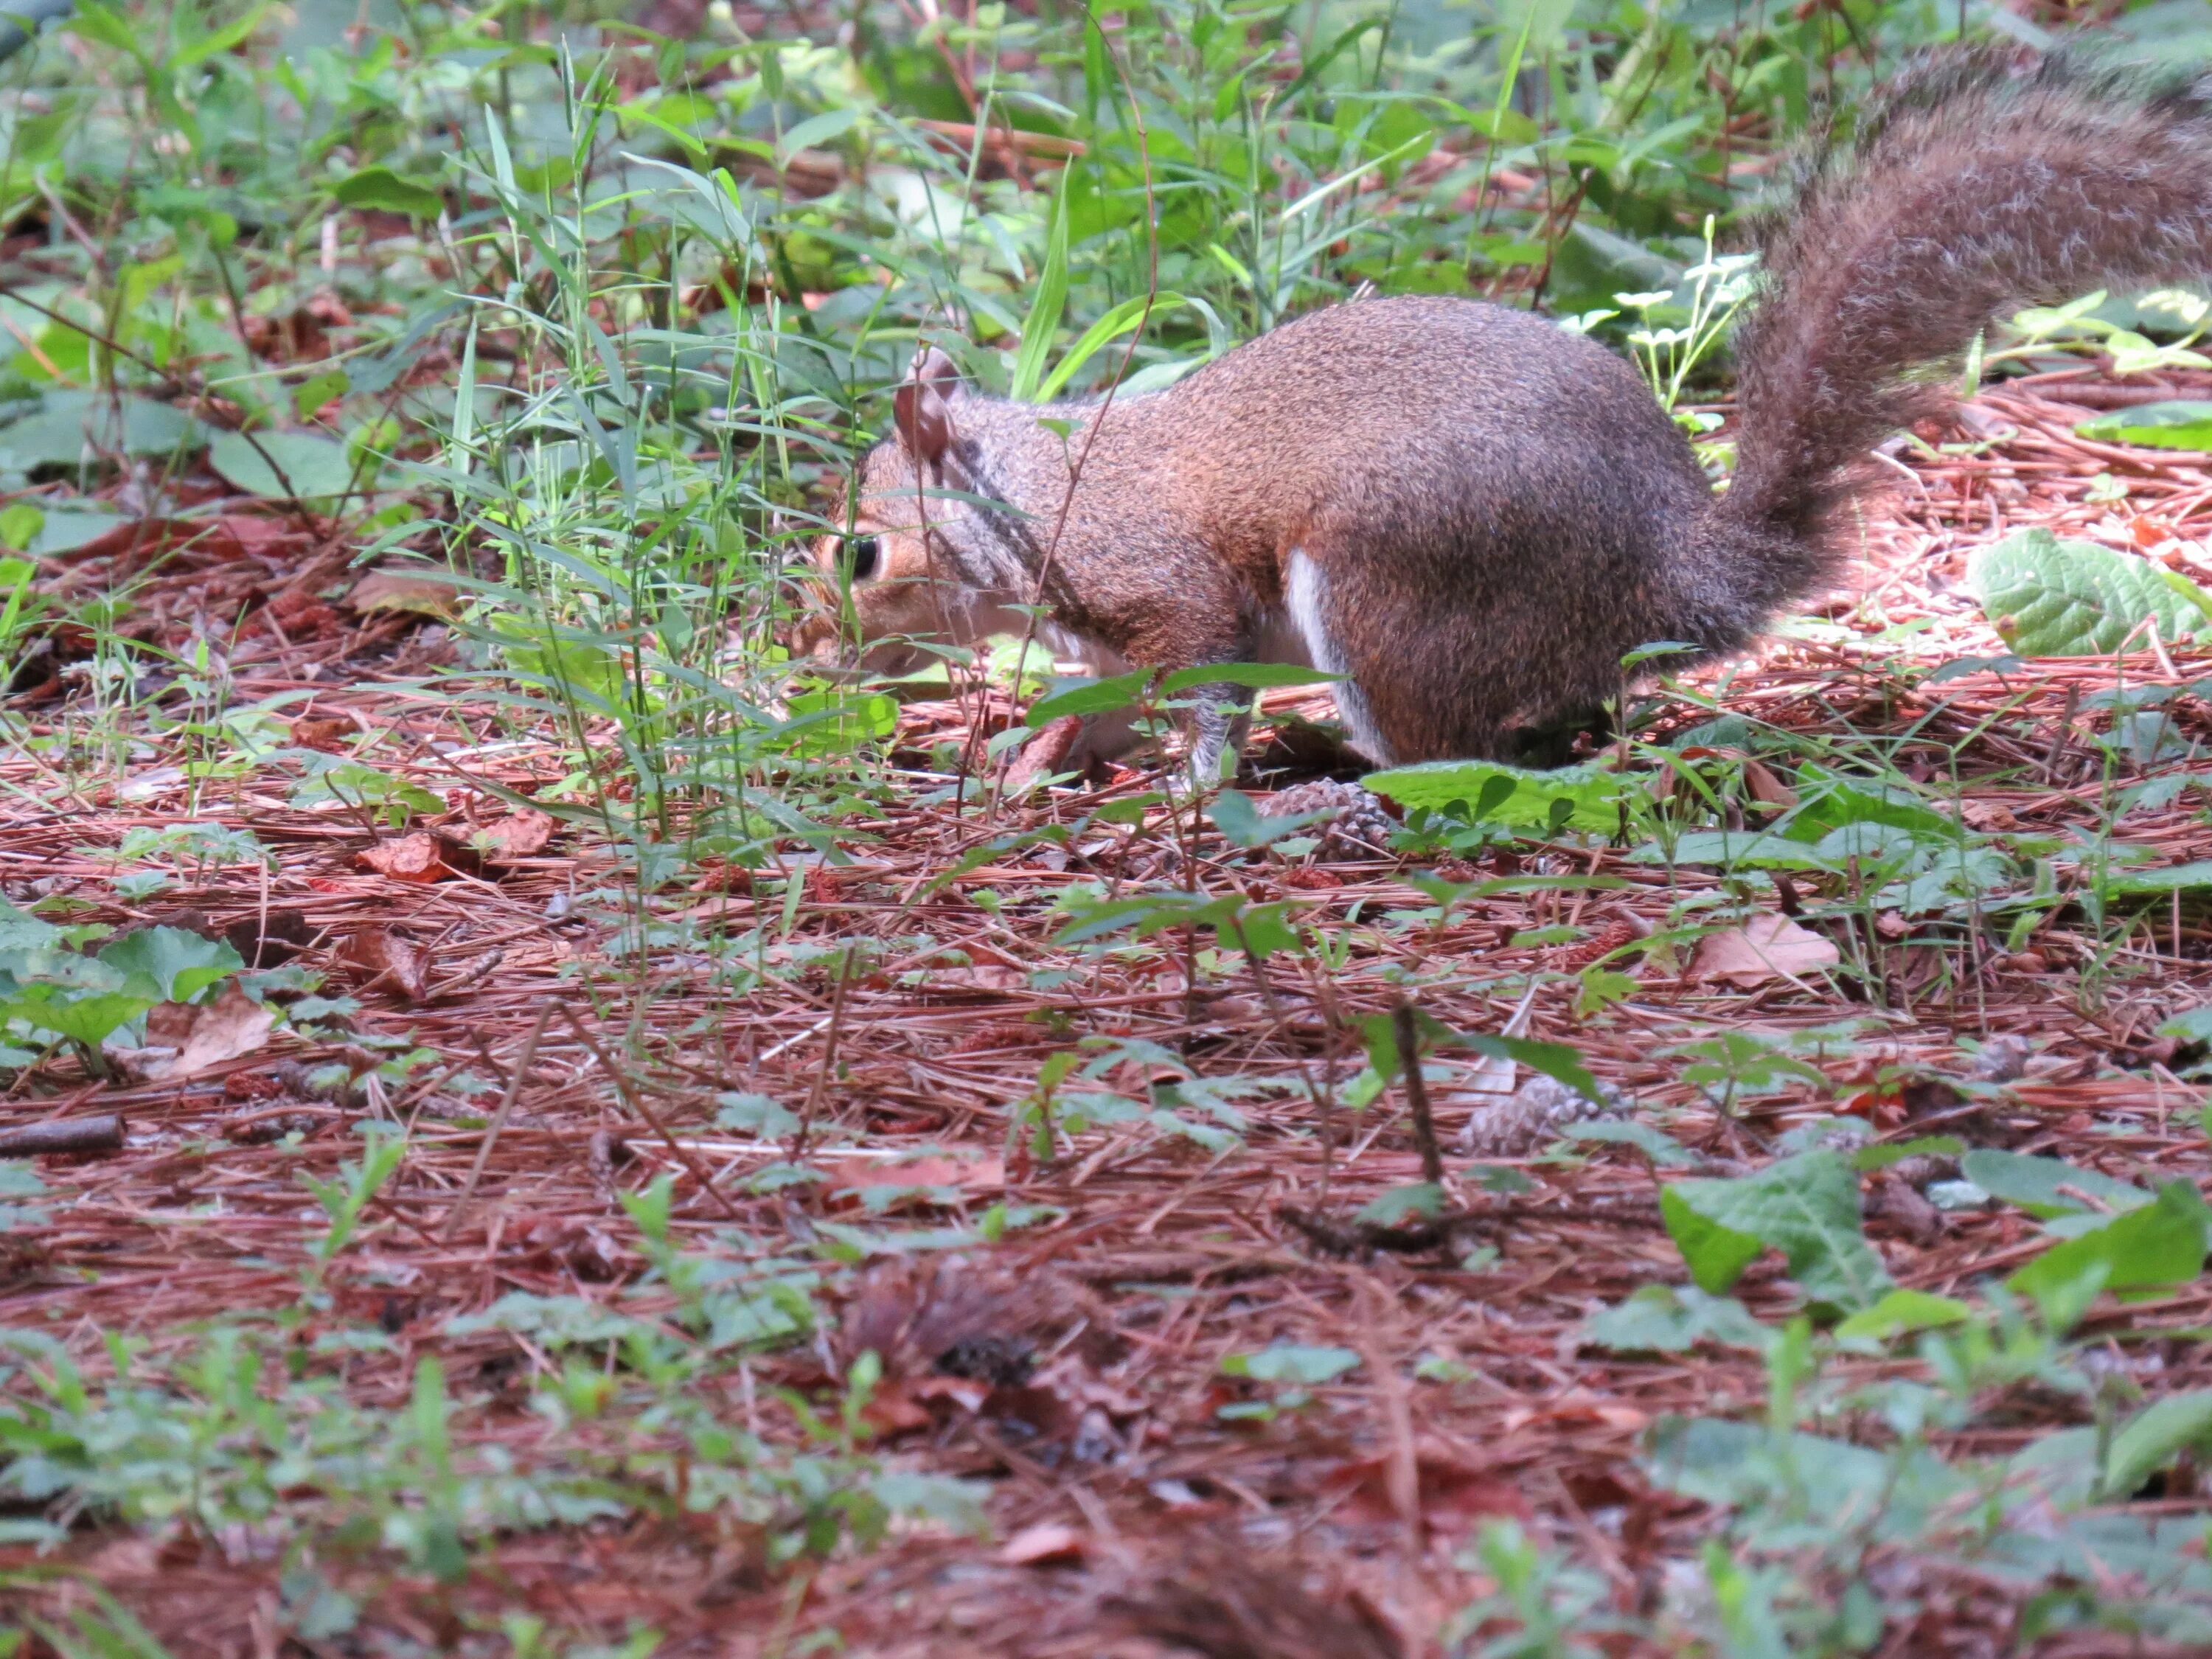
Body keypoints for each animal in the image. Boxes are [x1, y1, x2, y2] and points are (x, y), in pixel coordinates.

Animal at [805, 50, 2212, 779]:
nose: (806, 651)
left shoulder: (1165, 591)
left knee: (1448, 758)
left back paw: (1336, 780)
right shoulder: (1103, 647)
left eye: (858, 554)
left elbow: (1202, 704)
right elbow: (1097, 709)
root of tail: (1671, 574)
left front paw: (1181, 803)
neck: (1028, 491)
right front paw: (1032, 767)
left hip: (1391, 580)